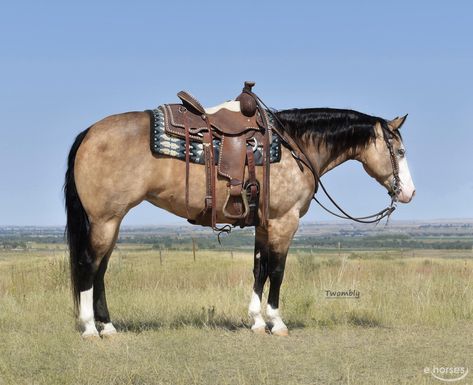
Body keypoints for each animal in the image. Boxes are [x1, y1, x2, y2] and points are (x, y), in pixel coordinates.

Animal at [62, 82, 412, 336]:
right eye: (400, 151)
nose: (409, 192)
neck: (294, 146)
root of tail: (89, 133)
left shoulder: (264, 223)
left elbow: (259, 269)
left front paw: (256, 321)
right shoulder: (284, 221)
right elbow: (278, 270)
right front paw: (277, 323)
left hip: (112, 221)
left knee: (101, 269)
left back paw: (108, 326)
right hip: (104, 220)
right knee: (88, 265)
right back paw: (90, 328)